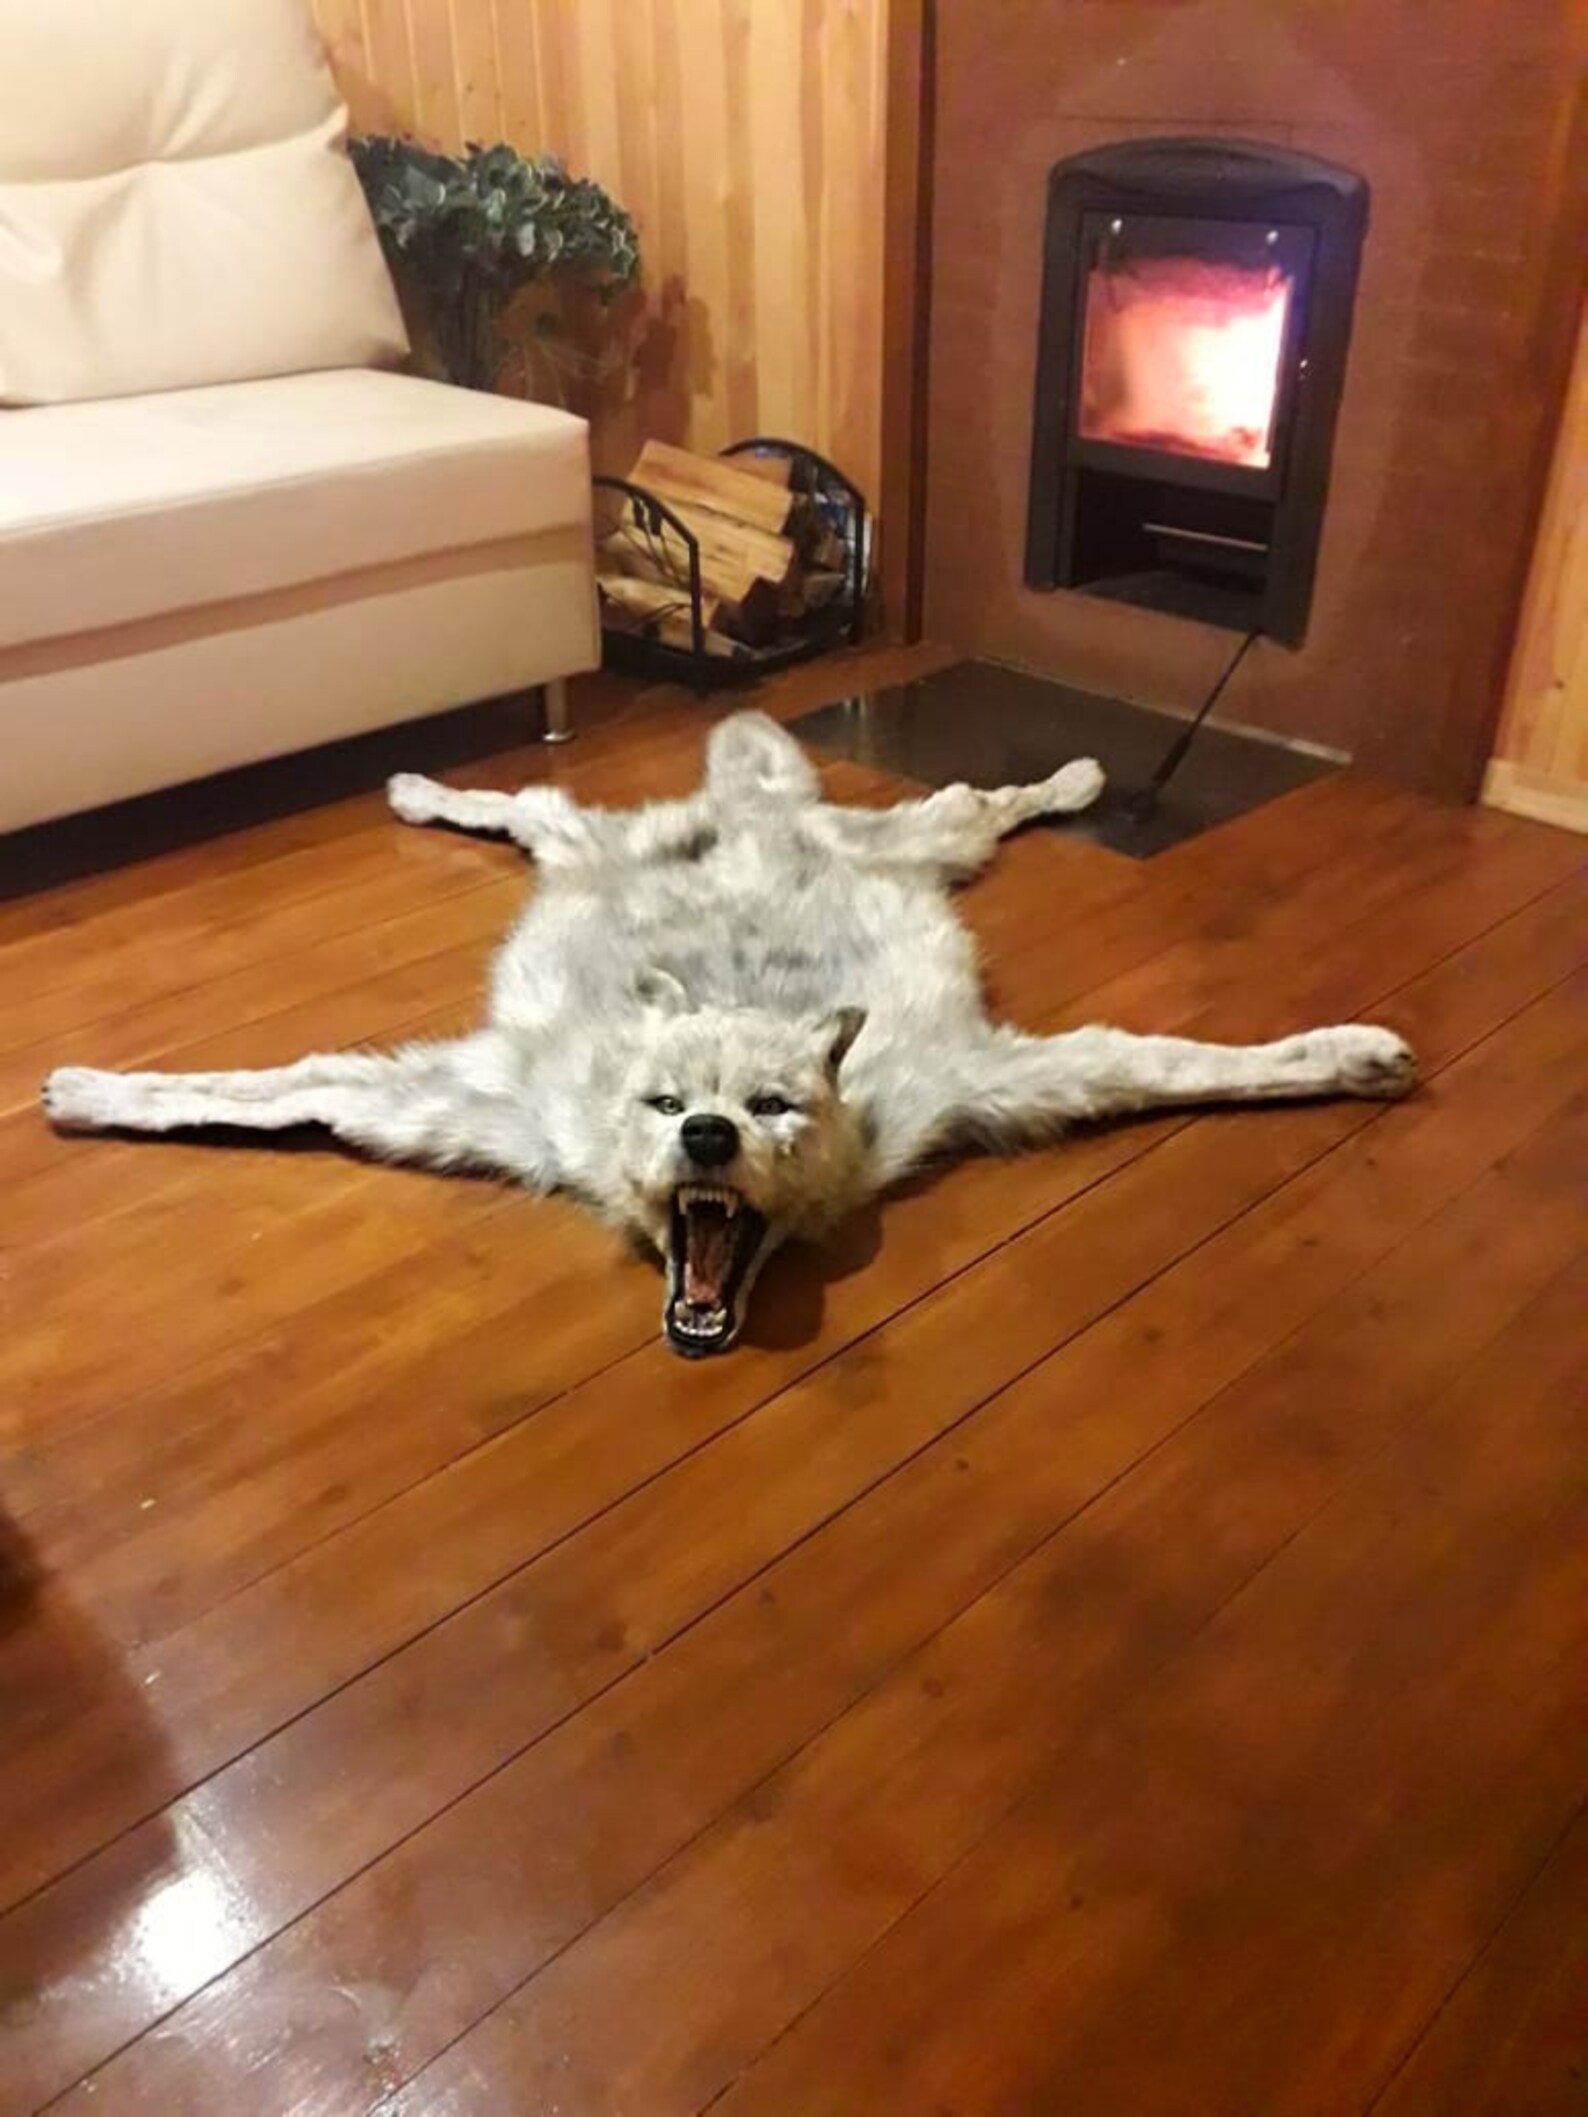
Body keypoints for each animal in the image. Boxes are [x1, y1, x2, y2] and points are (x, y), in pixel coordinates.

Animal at [43, 713, 1415, 1356]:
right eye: (666, 1103)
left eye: (771, 1105)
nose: (705, 1136)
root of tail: (756, 812)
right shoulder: (503, 1100)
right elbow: (282, 1084)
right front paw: (105, 1089)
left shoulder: (966, 1078)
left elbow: (1171, 1060)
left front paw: (1336, 1053)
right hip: (598, 851)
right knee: (532, 804)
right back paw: (427, 788)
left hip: (913, 844)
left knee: (980, 801)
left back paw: (1074, 780)